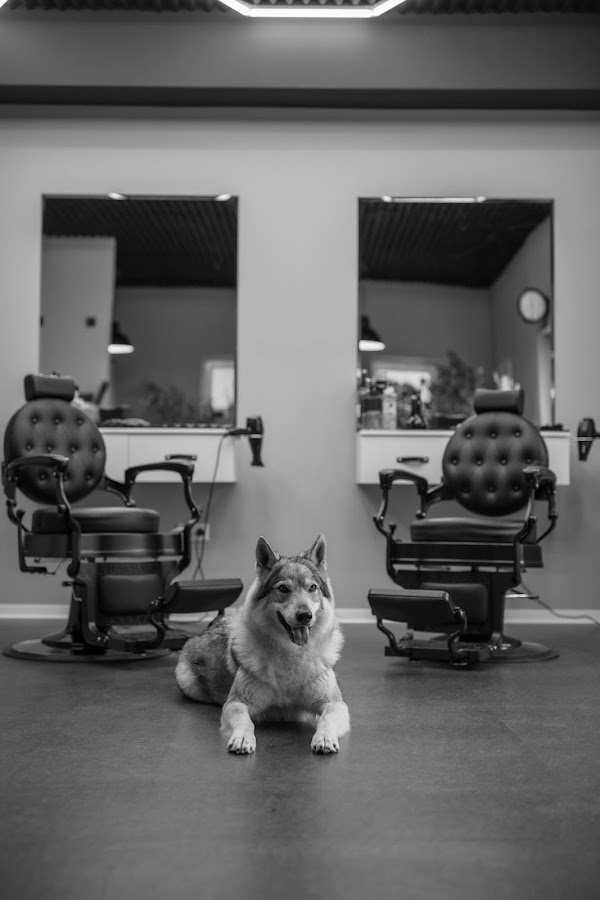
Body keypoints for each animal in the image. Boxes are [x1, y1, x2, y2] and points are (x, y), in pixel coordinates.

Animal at [175, 534, 350, 754]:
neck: (292, 656)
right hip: (188, 683)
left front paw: (324, 738)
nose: (305, 616)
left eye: (312, 588)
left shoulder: (336, 704)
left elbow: (326, 719)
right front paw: (242, 738)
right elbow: (246, 721)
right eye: (283, 588)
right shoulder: (235, 704)